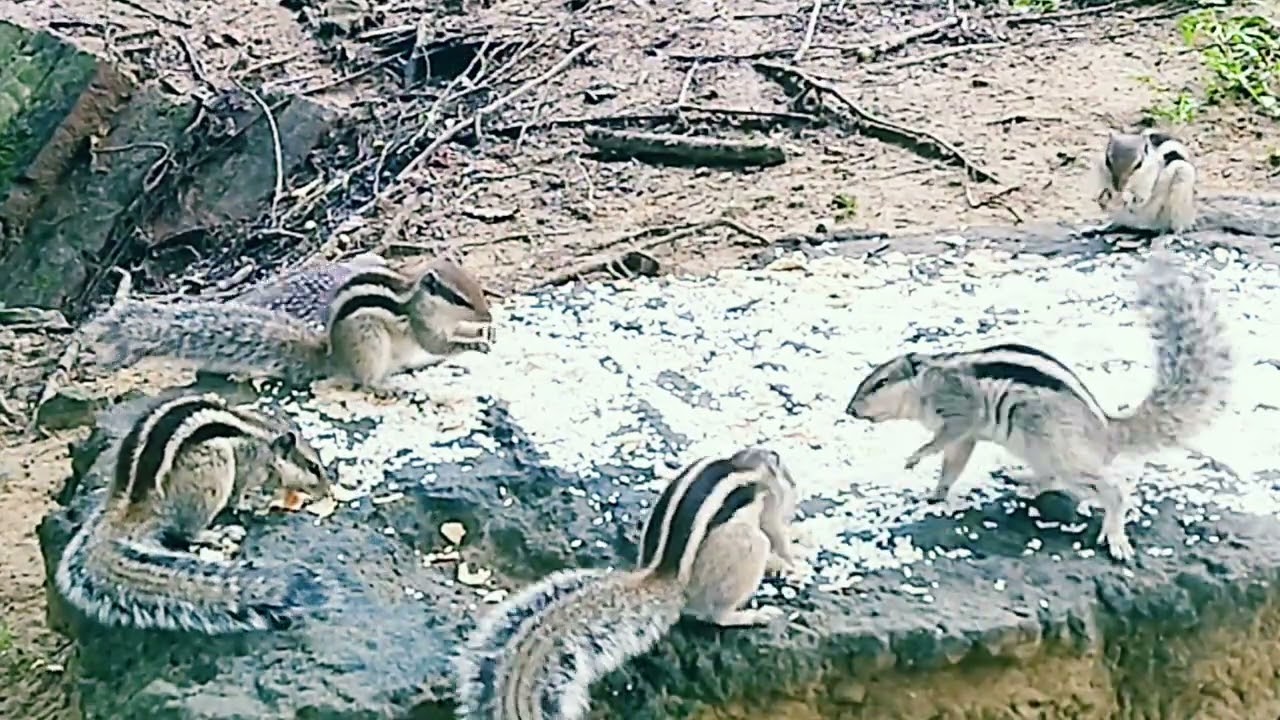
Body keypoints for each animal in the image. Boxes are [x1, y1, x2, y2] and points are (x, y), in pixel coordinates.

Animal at [54, 392, 336, 634]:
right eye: (313, 467)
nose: (328, 489)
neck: (263, 435)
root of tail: (136, 507)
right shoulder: (247, 464)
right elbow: (241, 497)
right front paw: (263, 504)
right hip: (215, 468)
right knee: (187, 531)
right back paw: (217, 534)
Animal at [79, 258, 496, 393]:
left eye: (478, 286)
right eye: (461, 298)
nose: (488, 315)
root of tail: (332, 358)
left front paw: (480, 334)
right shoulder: (423, 327)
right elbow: (440, 344)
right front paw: (471, 343)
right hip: (371, 344)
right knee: (366, 381)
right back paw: (388, 387)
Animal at [452, 447, 799, 720]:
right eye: (786, 472)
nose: (795, 486)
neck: (749, 465)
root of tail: (666, 579)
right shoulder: (768, 510)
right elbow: (777, 536)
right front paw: (791, 561)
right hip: (747, 546)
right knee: (714, 614)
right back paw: (751, 614)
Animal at [844, 254, 1233, 562]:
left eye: (879, 383)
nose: (850, 410)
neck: (927, 382)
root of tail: (1107, 432)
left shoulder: (960, 412)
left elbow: (942, 441)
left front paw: (915, 457)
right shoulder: (964, 438)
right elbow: (952, 464)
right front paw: (937, 493)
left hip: (1059, 451)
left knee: (1112, 490)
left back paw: (1115, 535)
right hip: (1036, 449)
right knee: (1049, 479)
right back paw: (1022, 480)